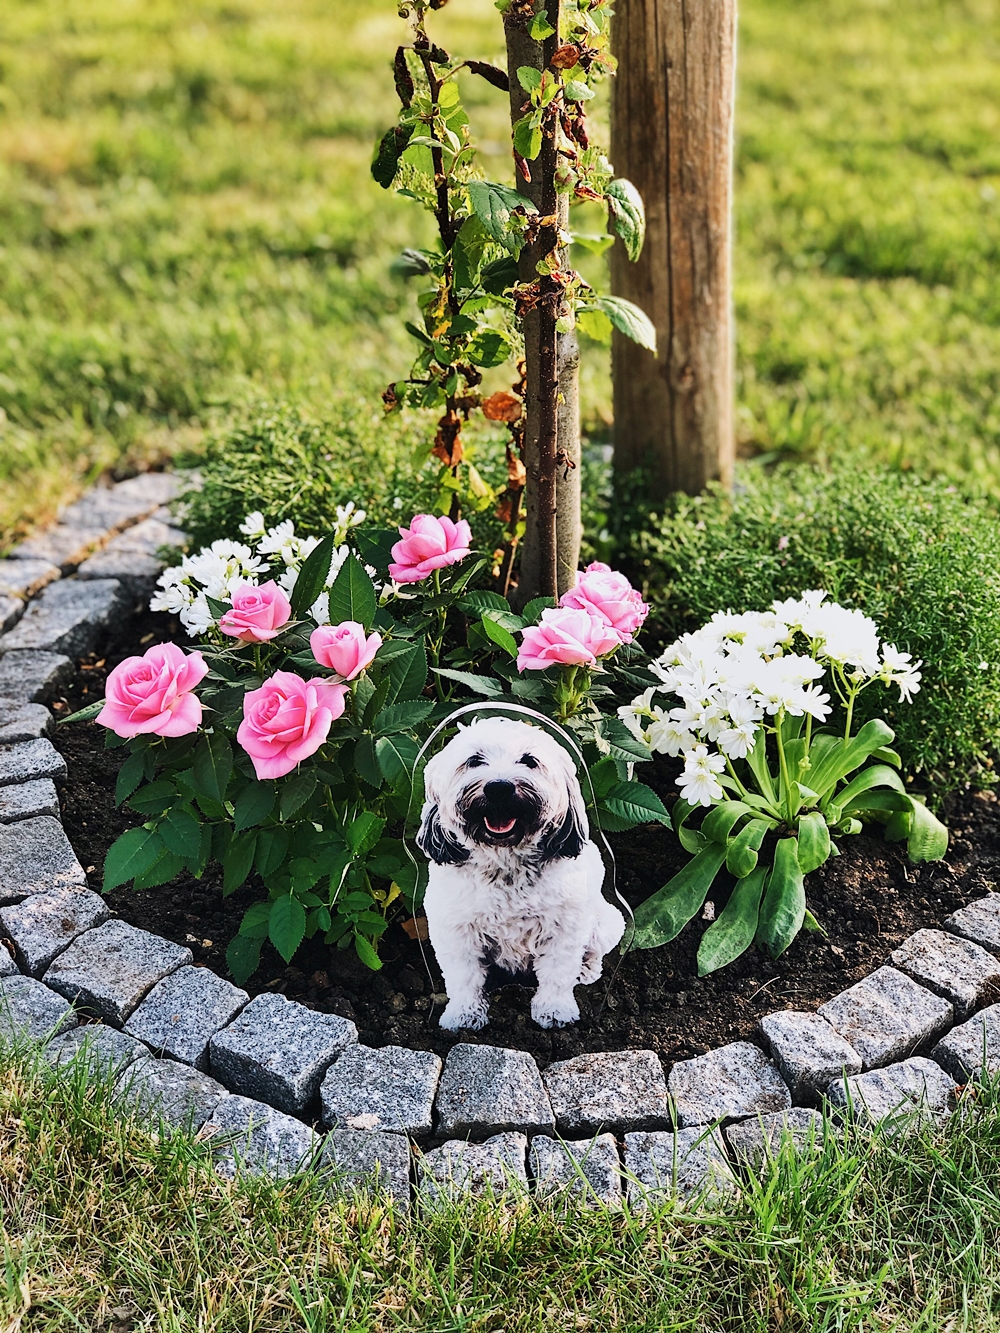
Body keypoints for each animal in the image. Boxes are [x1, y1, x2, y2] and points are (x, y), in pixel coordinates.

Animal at [416, 719, 626, 1029]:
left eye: (529, 761)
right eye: (474, 760)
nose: (499, 787)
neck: (506, 867)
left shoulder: (564, 929)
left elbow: (557, 973)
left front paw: (555, 1010)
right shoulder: (455, 931)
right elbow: (463, 977)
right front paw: (464, 1013)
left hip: (607, 922)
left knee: (594, 952)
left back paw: (585, 970)